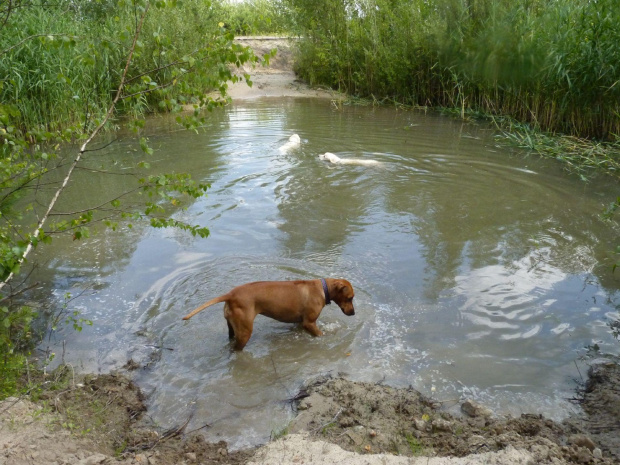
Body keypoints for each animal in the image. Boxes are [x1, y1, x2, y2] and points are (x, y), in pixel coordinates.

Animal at [180, 278, 354, 350]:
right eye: (350, 298)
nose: (353, 313)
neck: (323, 288)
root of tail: (231, 294)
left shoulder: (300, 323)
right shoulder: (309, 323)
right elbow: (320, 334)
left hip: (232, 327)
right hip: (245, 331)